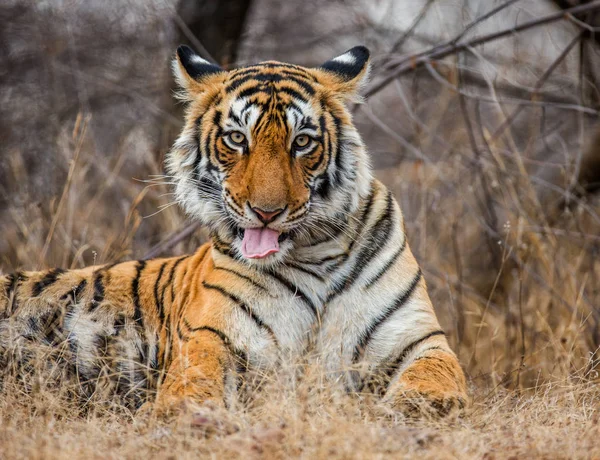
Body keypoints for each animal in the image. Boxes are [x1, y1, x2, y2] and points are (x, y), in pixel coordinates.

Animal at [0, 45, 466, 416]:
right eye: (237, 139)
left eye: (302, 142)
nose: (267, 212)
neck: (315, 253)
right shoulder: (213, 335)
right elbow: (197, 377)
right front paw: (186, 411)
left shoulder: (419, 339)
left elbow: (439, 372)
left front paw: (421, 406)